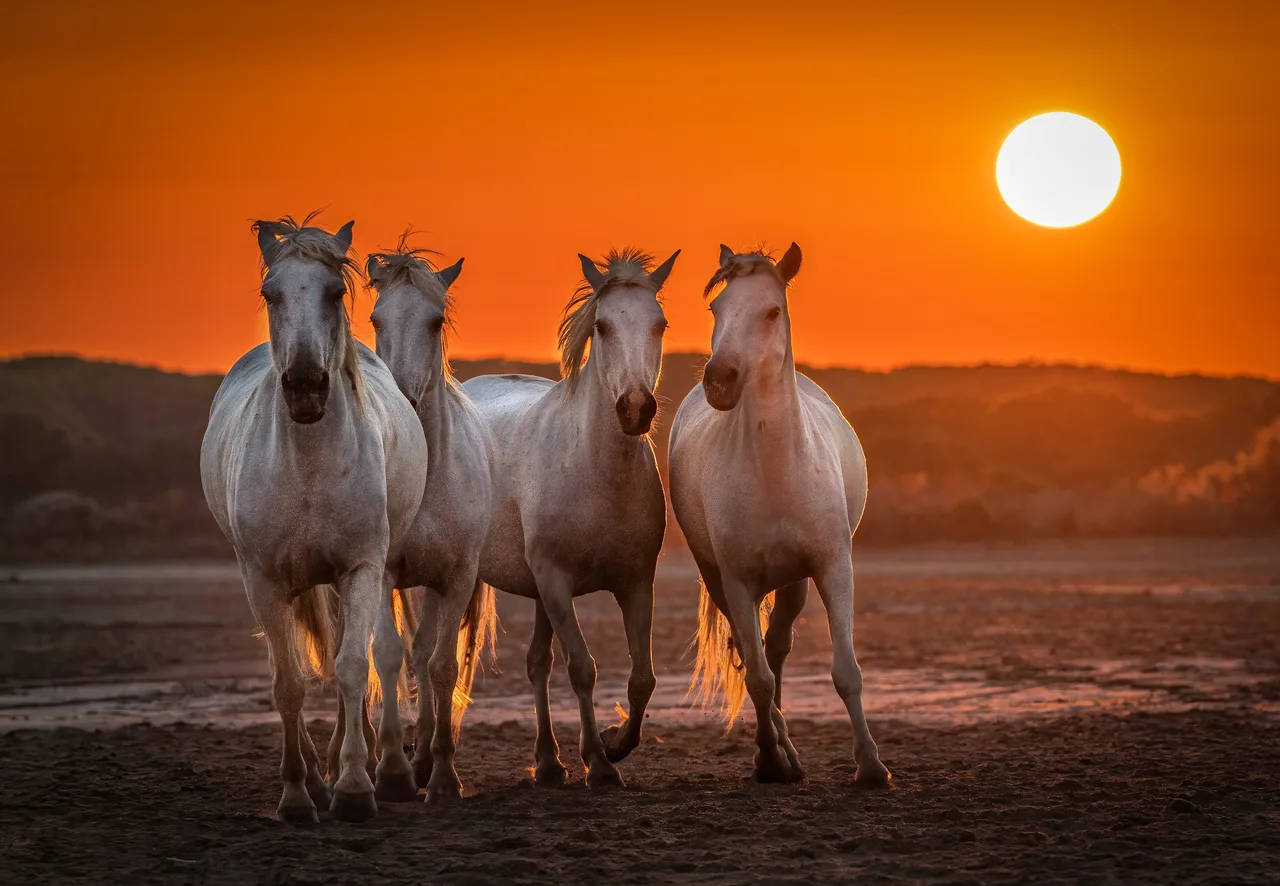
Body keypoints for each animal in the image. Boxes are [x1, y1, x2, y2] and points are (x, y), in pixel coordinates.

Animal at [200, 215, 428, 823]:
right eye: (269, 293)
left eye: (335, 292)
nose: (305, 386)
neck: (307, 464)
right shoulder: (264, 579)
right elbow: (288, 684)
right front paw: (299, 795)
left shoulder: (362, 569)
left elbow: (351, 668)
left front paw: (354, 787)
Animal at [462, 248, 679, 787]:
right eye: (602, 326)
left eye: (660, 324)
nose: (636, 409)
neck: (595, 471)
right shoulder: (557, 581)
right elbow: (582, 668)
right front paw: (599, 765)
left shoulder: (636, 582)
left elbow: (642, 678)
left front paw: (614, 744)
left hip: (540, 594)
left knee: (537, 664)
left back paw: (547, 762)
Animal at [668, 243, 890, 786]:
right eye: (716, 309)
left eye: (771, 311)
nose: (719, 381)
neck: (773, 469)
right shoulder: (737, 583)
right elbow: (758, 680)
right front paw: (770, 760)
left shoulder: (832, 568)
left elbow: (846, 672)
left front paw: (871, 765)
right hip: (722, 583)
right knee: (757, 660)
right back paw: (780, 750)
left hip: (794, 584)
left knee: (777, 647)